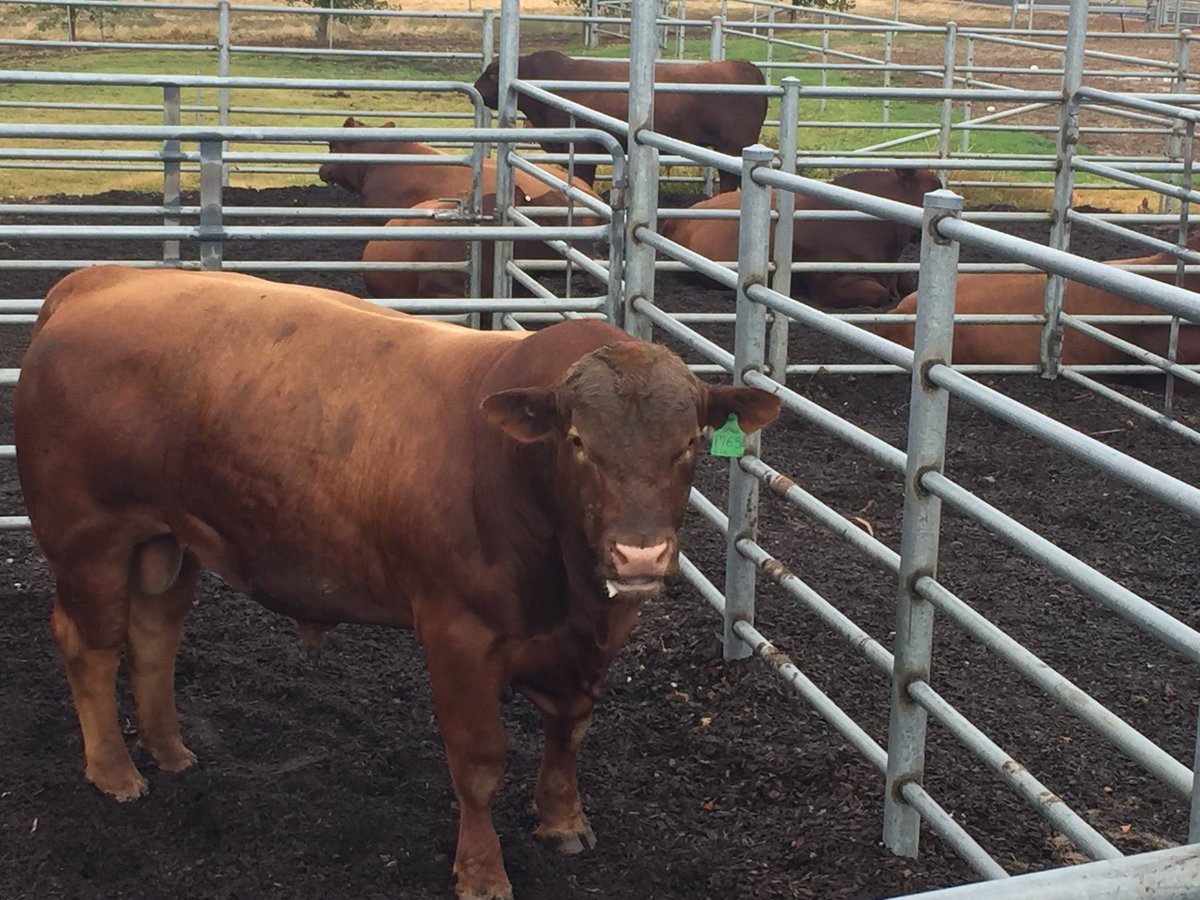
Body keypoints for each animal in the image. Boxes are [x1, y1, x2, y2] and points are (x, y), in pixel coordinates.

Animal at [15, 265, 781, 900]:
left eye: (689, 444)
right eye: (578, 443)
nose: (639, 555)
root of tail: (97, 279)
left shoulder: (593, 639)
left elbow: (569, 729)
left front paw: (564, 820)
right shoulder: (456, 630)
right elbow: (477, 760)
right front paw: (482, 872)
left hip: (167, 539)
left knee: (154, 638)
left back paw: (172, 753)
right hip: (90, 539)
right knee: (89, 646)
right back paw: (116, 773)